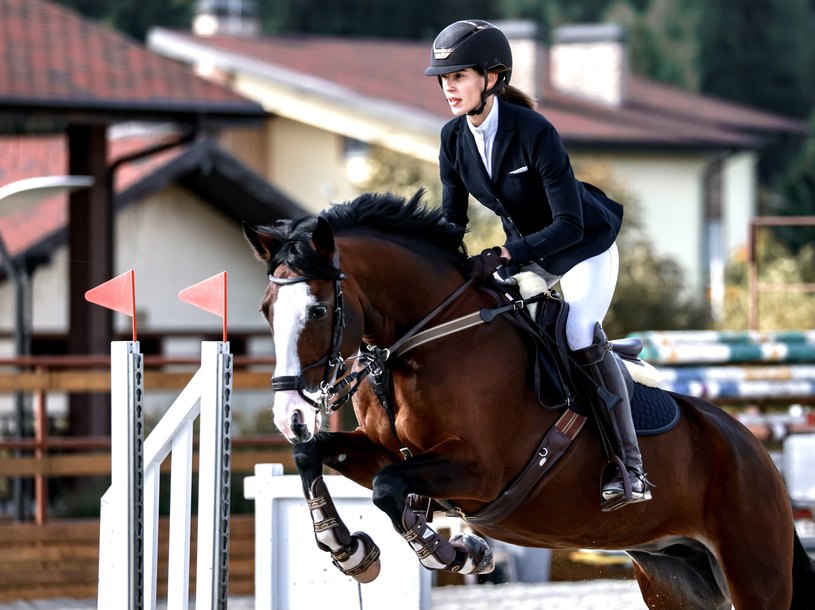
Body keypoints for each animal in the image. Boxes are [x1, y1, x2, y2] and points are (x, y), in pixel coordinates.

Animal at [244, 191, 815, 608]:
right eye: (267, 308)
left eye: (318, 310)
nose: (289, 414)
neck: (419, 345)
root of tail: (753, 449)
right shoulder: (385, 451)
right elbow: (315, 456)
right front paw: (348, 550)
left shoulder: (481, 472)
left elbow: (388, 488)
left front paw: (456, 554)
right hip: (675, 573)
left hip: (754, 572)